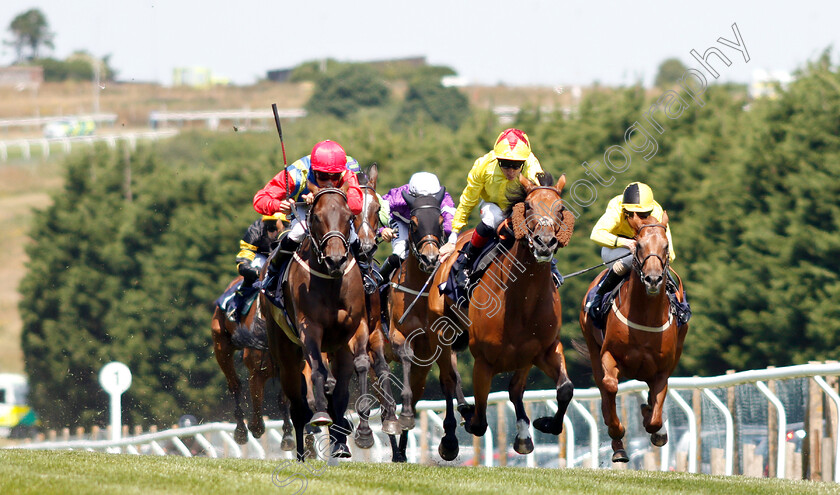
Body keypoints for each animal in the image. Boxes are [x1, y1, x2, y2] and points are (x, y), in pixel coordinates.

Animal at [210, 278, 296, 452]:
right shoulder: (256, 372)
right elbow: (256, 405)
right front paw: (255, 427)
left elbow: (284, 400)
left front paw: (289, 436)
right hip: (221, 346)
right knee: (235, 385)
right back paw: (241, 430)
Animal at [260, 184, 370, 464]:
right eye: (317, 217)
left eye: (348, 216)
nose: (336, 260)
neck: (331, 283)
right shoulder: (310, 328)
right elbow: (318, 371)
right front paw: (321, 415)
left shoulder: (356, 326)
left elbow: (359, 366)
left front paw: (362, 431)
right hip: (285, 352)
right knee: (297, 407)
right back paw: (301, 453)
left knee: (339, 392)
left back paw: (340, 441)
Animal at [384, 189, 470, 462]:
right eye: (413, 223)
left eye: (440, 221)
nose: (431, 258)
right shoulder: (397, 335)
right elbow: (406, 356)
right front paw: (405, 414)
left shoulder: (440, 340)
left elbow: (449, 378)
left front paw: (453, 435)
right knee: (381, 396)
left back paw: (401, 451)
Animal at [430, 172, 576, 456]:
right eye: (528, 206)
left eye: (561, 209)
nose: (544, 243)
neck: (522, 301)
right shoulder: (483, 361)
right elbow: (479, 422)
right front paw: (467, 417)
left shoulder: (542, 350)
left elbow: (564, 389)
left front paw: (542, 424)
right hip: (442, 331)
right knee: (448, 380)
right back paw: (451, 437)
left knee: (514, 390)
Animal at [576, 211, 688, 464]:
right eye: (639, 245)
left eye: (666, 246)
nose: (653, 279)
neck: (645, 317)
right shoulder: (609, 354)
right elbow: (609, 386)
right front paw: (617, 431)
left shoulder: (663, 368)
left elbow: (655, 416)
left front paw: (656, 427)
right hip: (592, 344)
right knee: (604, 388)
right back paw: (618, 446)